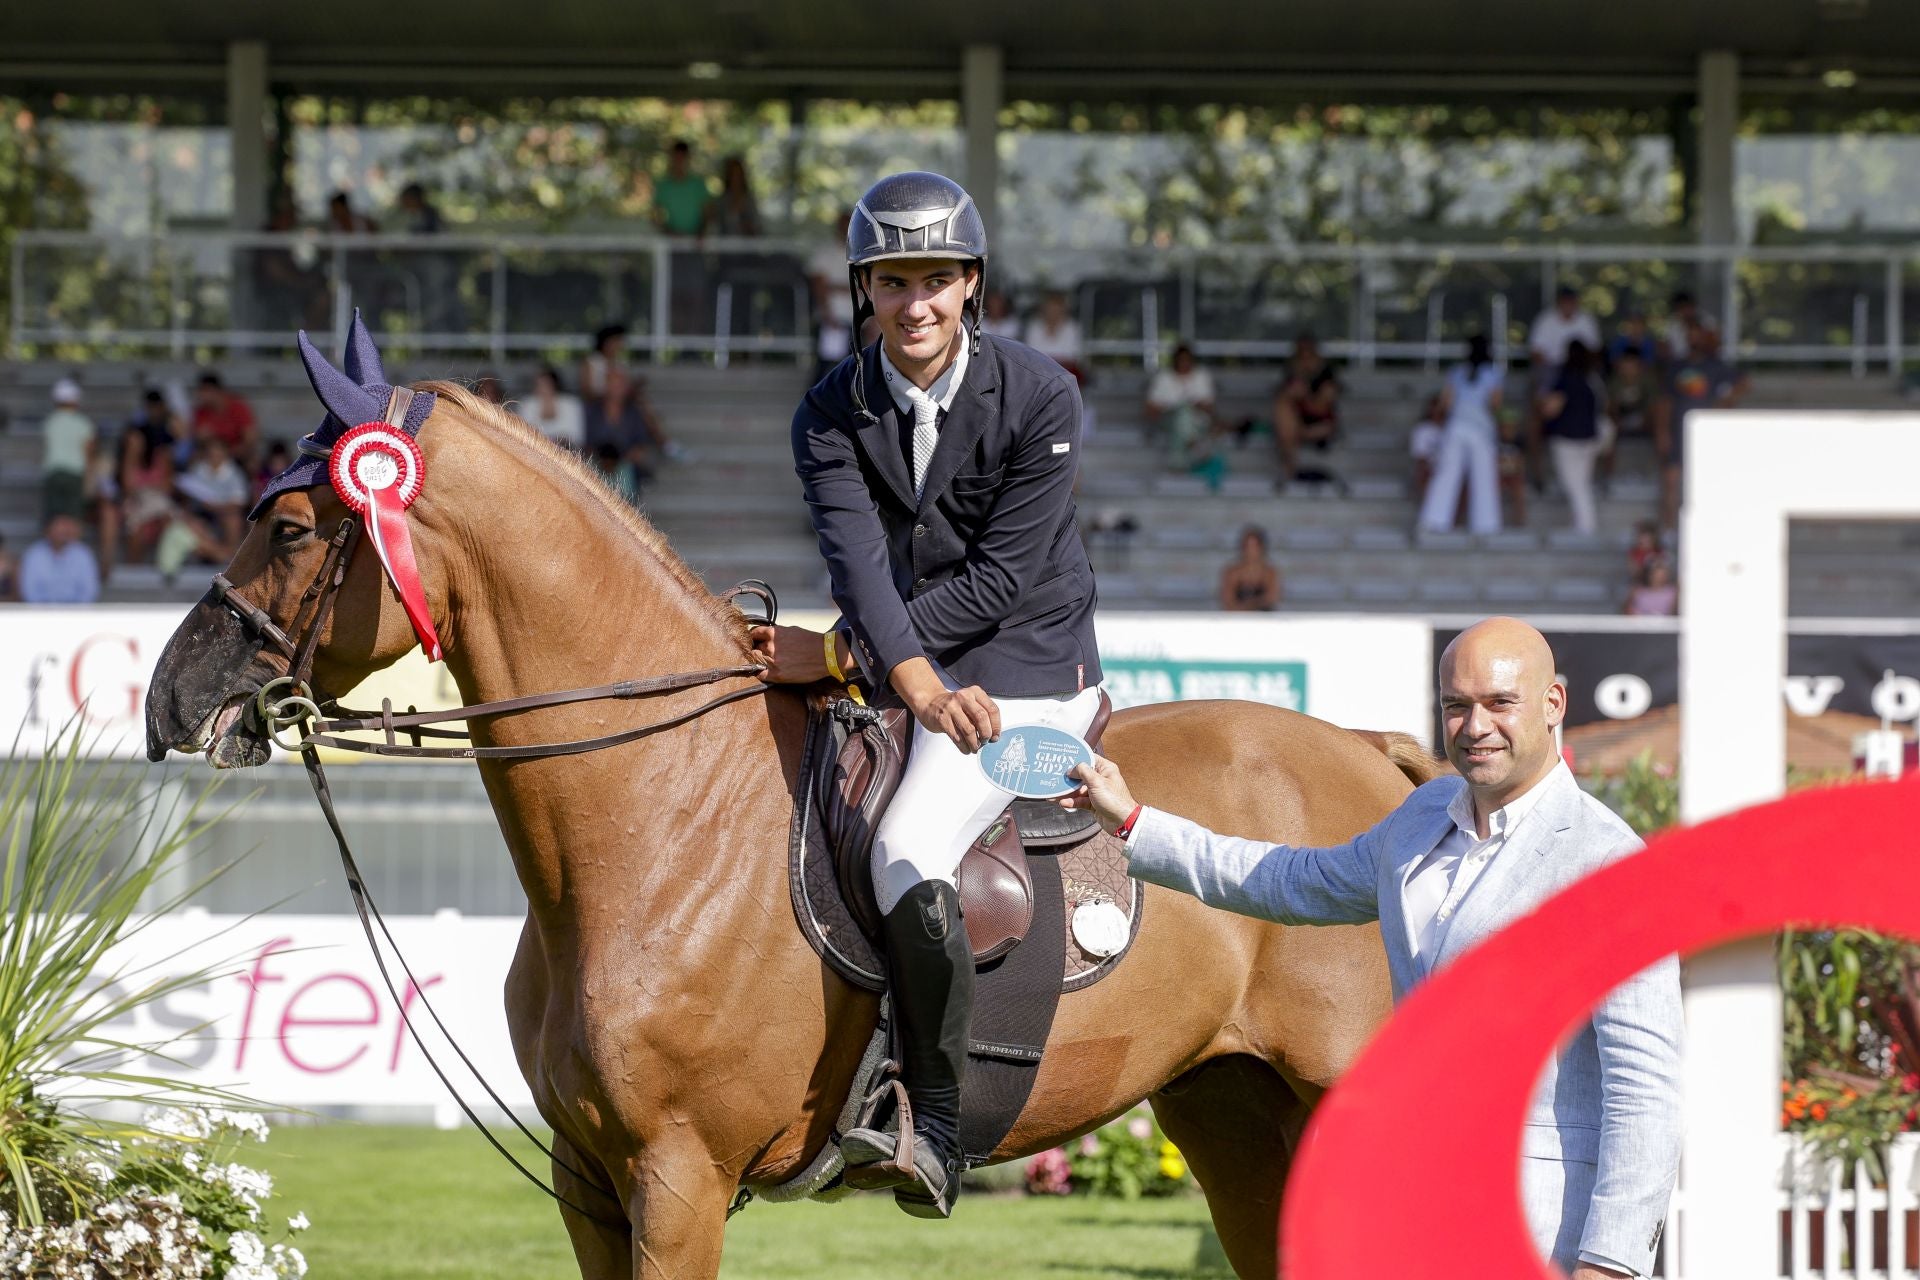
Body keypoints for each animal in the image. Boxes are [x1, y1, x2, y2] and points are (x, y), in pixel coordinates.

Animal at [145, 383, 1428, 1280]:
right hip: (1233, 1114)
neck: (665, 806)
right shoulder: (588, 1176)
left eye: (294, 526)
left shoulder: (675, 1178)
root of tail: (1368, 748)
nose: (169, 698)